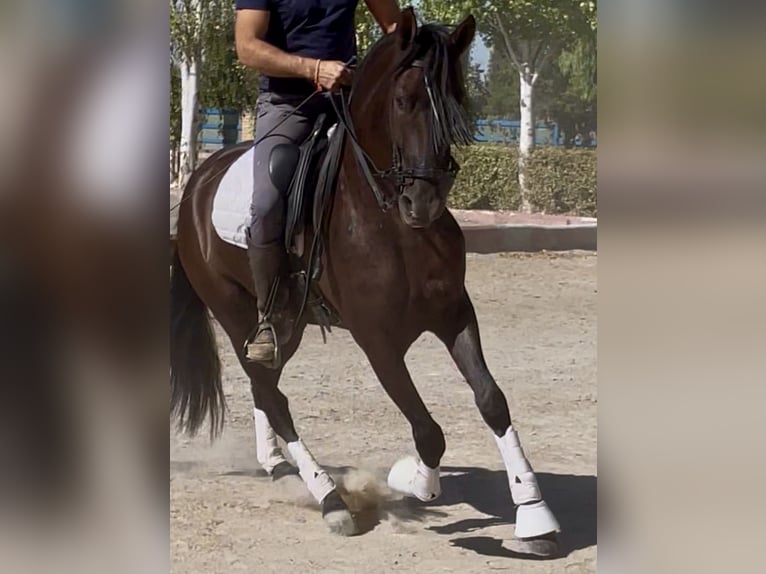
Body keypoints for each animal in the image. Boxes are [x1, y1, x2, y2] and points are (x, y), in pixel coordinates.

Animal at [170, 8, 560, 556]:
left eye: (456, 98)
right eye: (403, 101)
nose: (424, 202)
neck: (388, 219)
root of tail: (196, 186)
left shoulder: (455, 314)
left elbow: (491, 401)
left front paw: (533, 514)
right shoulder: (378, 342)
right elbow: (428, 430)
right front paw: (413, 480)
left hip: (286, 323)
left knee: (264, 386)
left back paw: (278, 467)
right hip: (233, 310)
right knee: (272, 394)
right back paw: (329, 499)